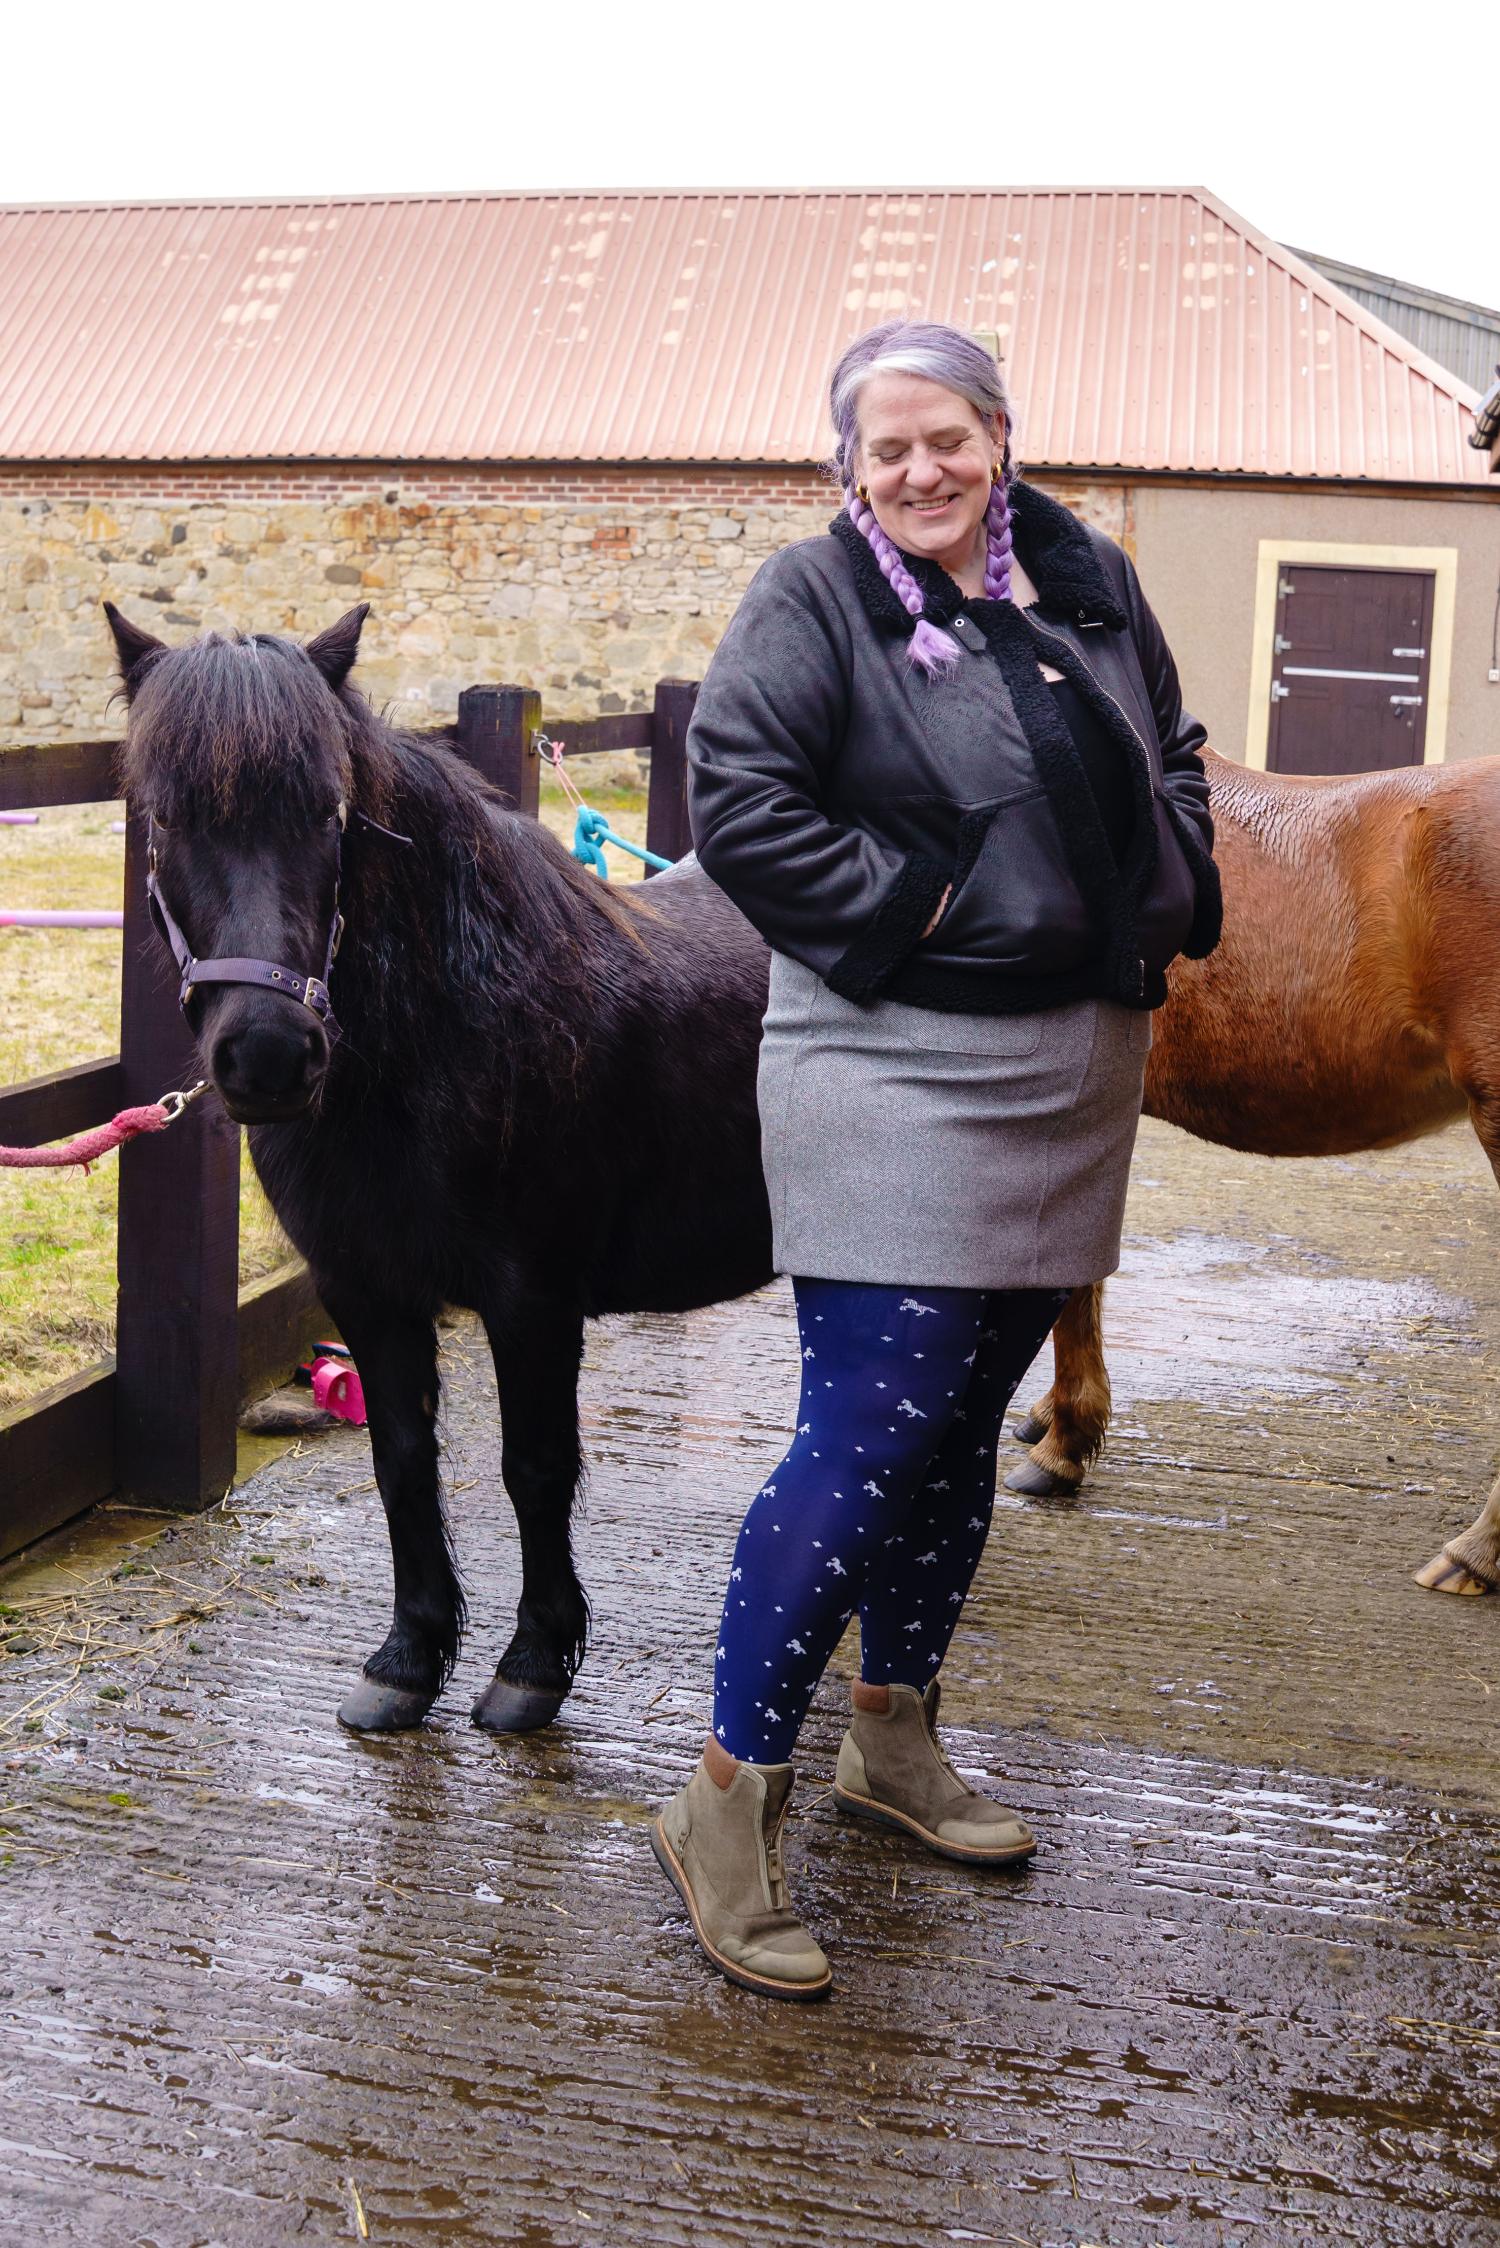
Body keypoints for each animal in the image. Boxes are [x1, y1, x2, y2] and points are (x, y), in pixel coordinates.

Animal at [106, 601, 777, 1734]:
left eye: (328, 812)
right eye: (163, 818)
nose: (270, 1054)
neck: (462, 1030)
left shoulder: (533, 1297)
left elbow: (535, 1467)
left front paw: (533, 1664)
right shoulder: (365, 1289)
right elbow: (401, 1461)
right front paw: (408, 1660)